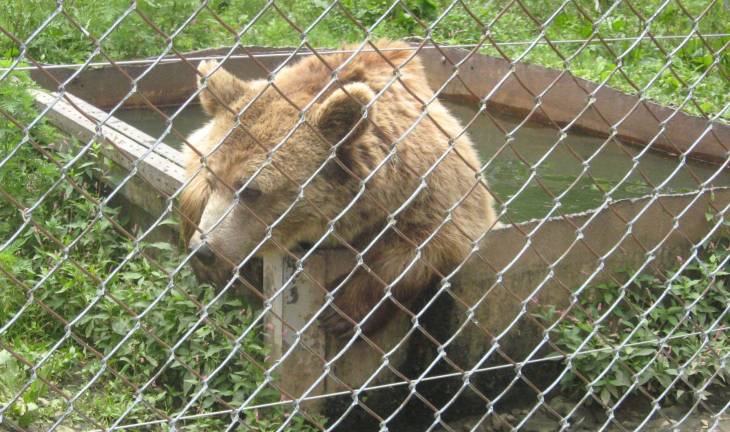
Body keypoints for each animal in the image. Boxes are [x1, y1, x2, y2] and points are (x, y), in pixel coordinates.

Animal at [182, 39, 498, 338]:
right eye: (212, 180)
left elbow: (436, 238)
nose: (203, 250)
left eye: (251, 190)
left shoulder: (431, 182)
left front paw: (342, 311)